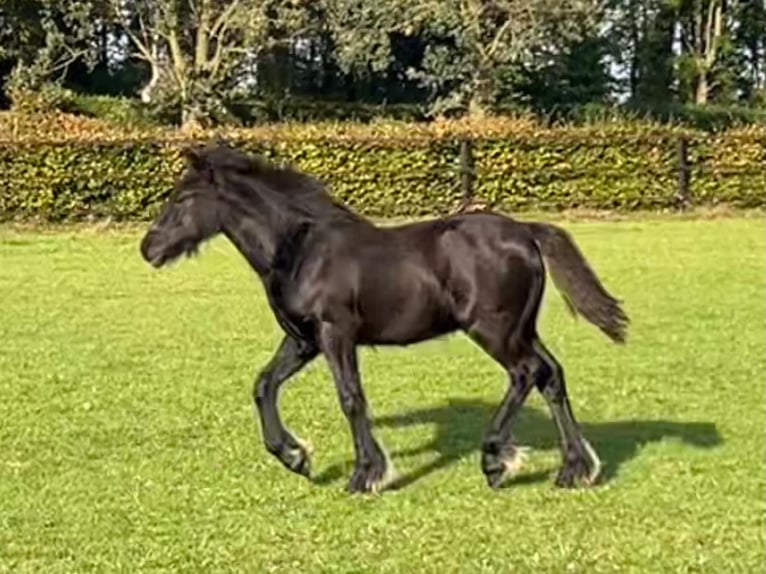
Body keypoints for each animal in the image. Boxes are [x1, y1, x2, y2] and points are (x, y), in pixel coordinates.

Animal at [139, 142, 629, 494]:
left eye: (184, 198)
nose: (148, 248)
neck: (299, 251)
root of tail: (526, 232)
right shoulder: (303, 340)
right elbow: (264, 385)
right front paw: (296, 457)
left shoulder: (335, 333)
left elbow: (351, 398)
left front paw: (366, 475)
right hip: (520, 329)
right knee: (551, 375)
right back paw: (574, 470)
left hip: (494, 330)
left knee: (527, 373)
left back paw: (496, 460)